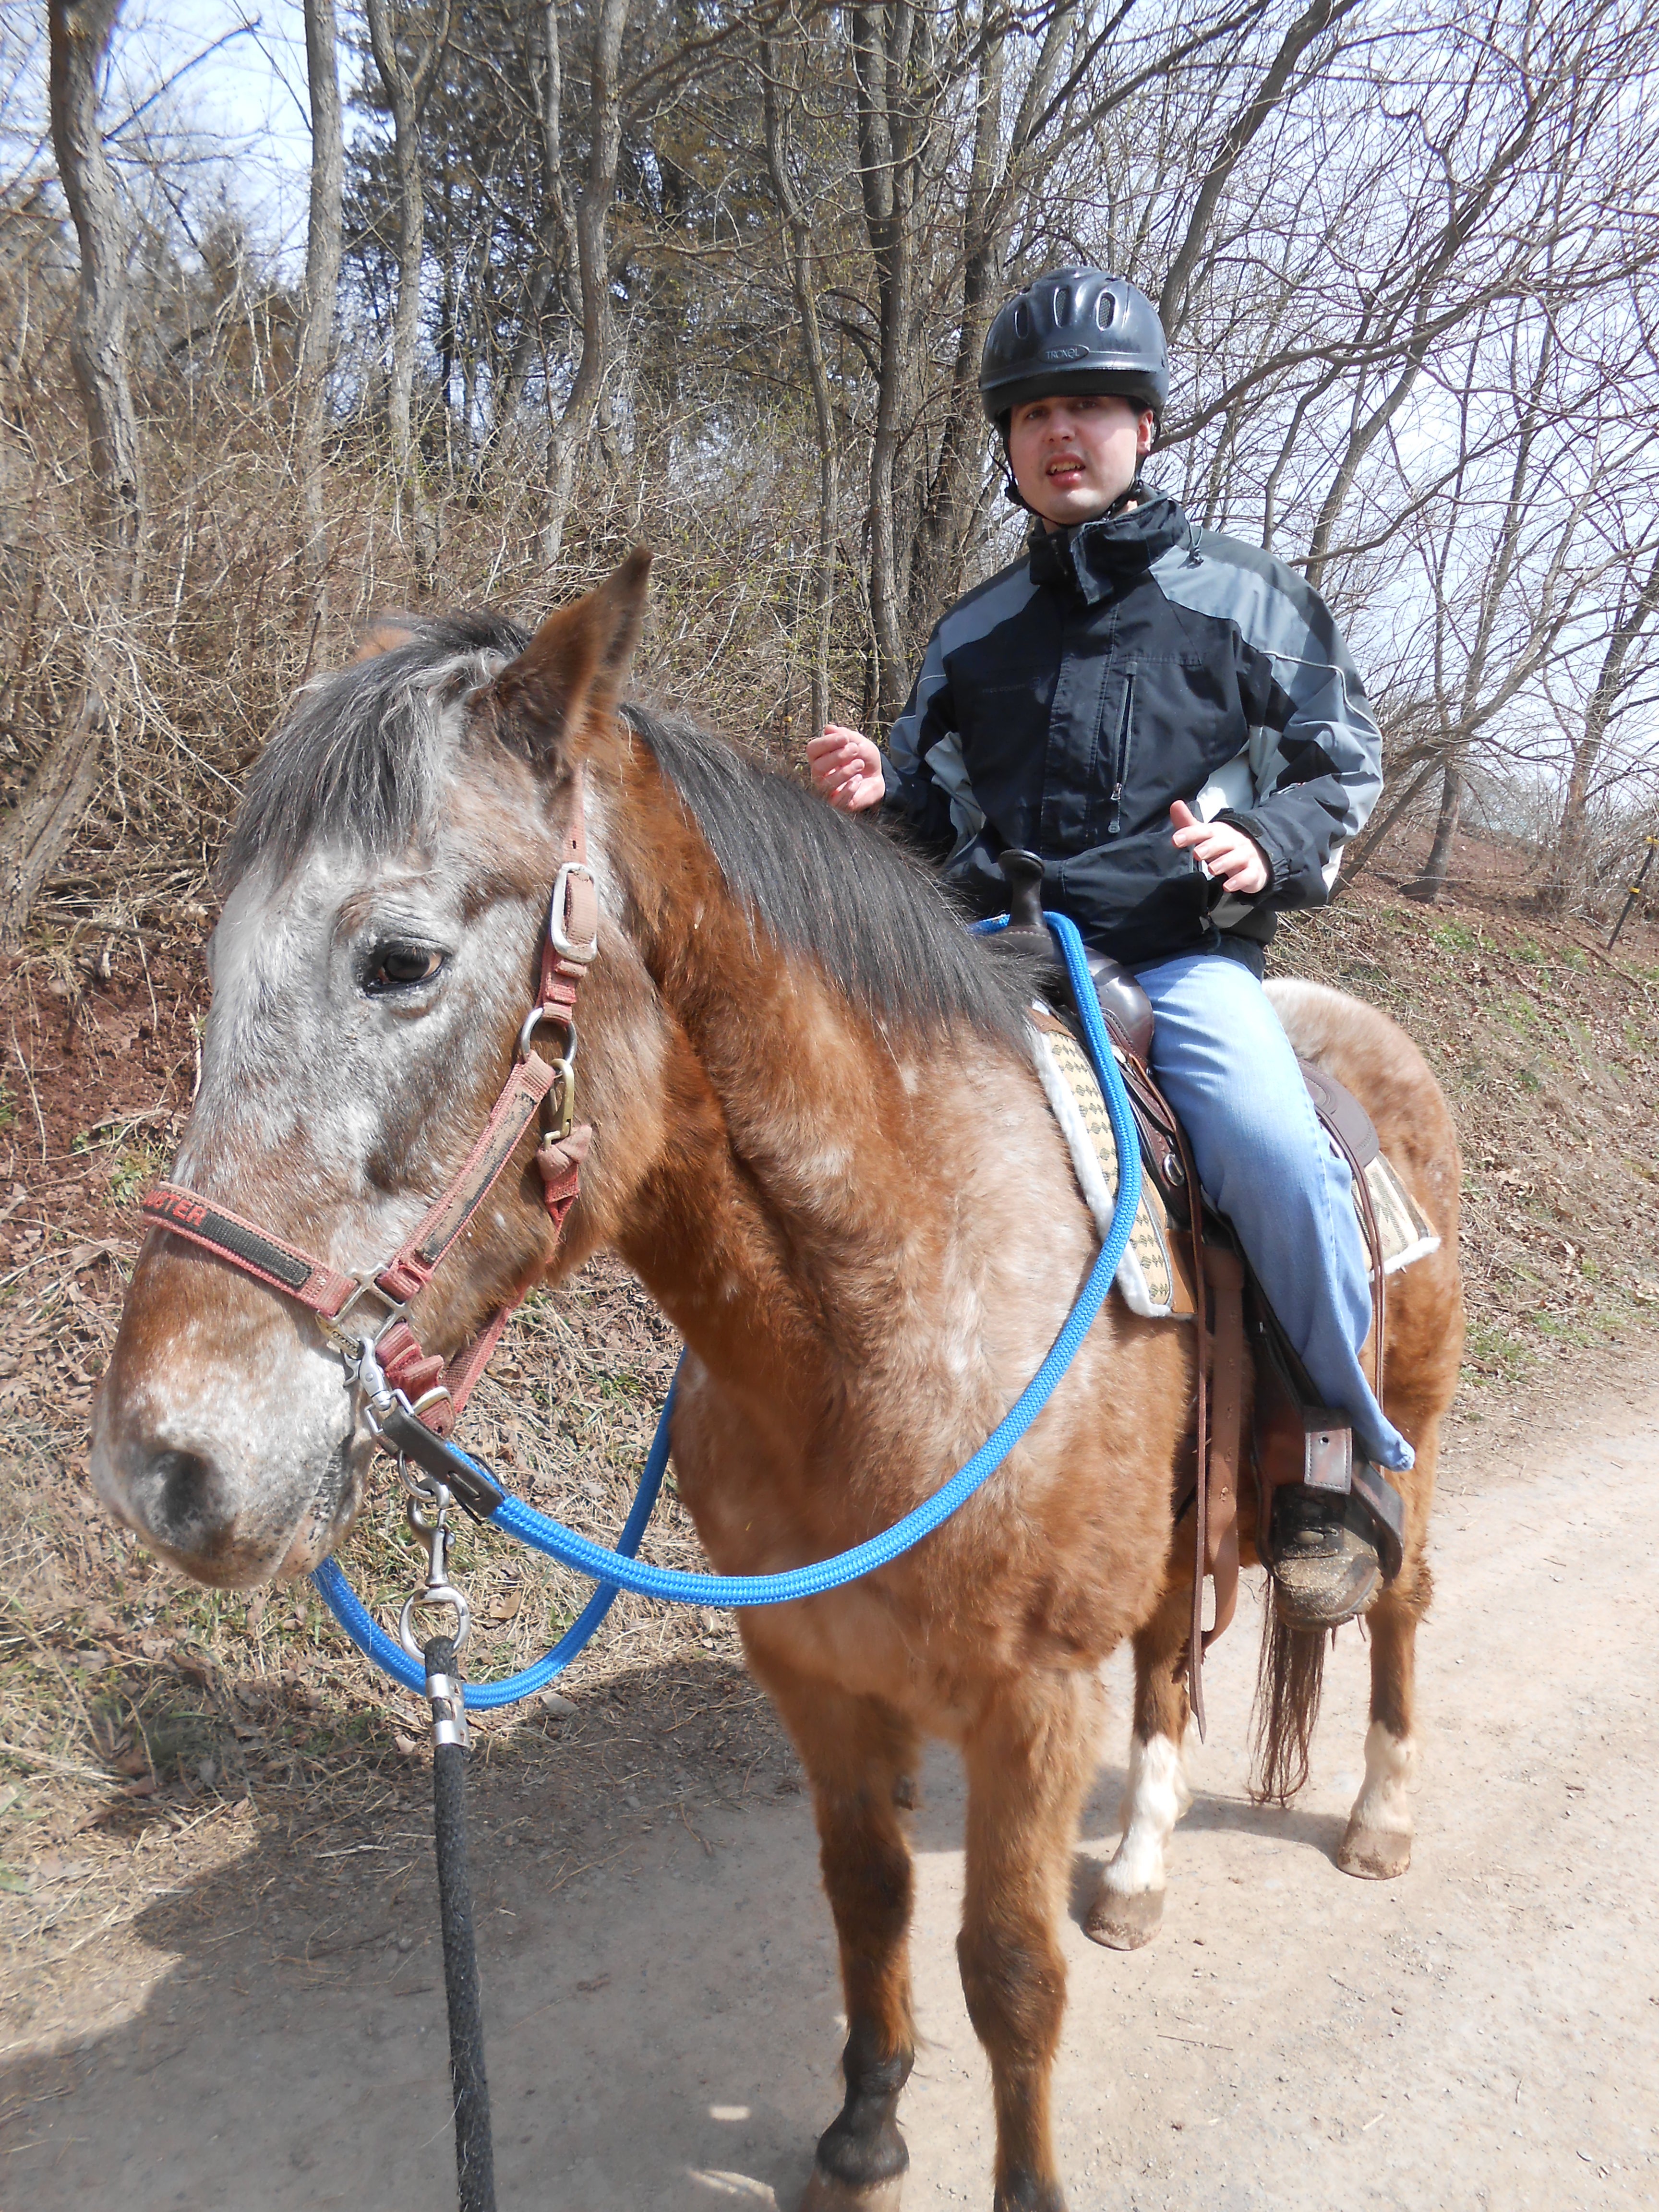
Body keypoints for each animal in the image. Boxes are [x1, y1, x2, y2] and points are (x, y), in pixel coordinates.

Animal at [92, 553, 1463, 2212]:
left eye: (400, 960)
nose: (165, 1469)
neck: (895, 1314)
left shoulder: (1029, 1701)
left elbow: (1009, 1972)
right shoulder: (818, 1674)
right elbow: (867, 1899)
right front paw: (865, 2131)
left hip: (1407, 1439)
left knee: (1395, 1602)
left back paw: (1383, 1816)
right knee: (1169, 1663)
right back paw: (1136, 1871)